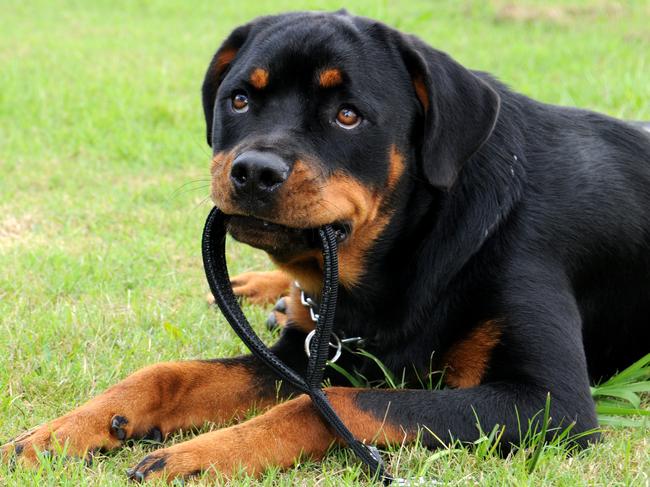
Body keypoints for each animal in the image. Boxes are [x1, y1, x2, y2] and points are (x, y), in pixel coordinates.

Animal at [2, 9, 644, 482]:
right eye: (240, 100)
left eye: (348, 116)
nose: (254, 171)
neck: (409, 251)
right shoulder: (297, 353)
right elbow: (167, 373)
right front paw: (61, 431)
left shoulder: (549, 405)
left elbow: (337, 401)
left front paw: (200, 455)